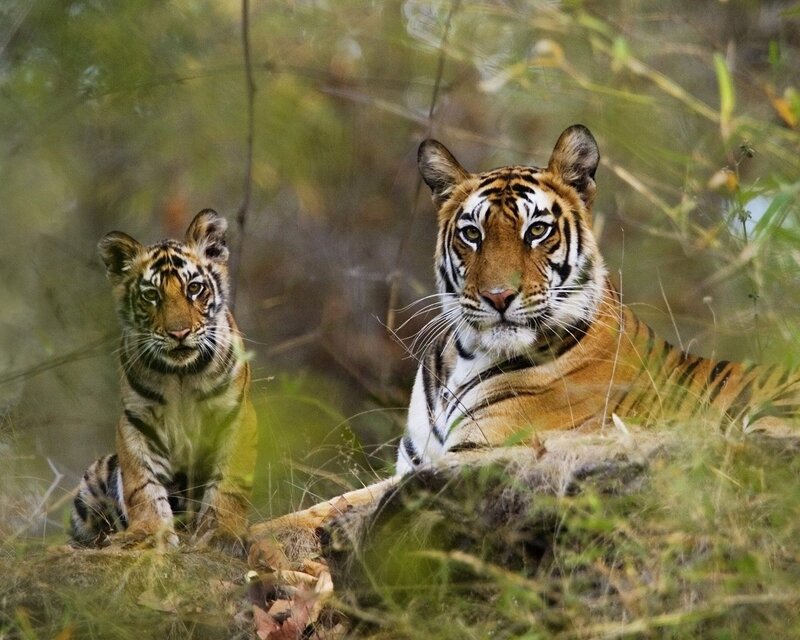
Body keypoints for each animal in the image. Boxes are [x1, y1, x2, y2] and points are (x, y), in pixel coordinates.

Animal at [69, 209, 257, 555]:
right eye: (151, 295)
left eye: (194, 288)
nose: (178, 333)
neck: (181, 374)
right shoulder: (137, 422)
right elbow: (142, 485)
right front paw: (148, 534)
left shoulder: (236, 416)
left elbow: (229, 484)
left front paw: (222, 535)